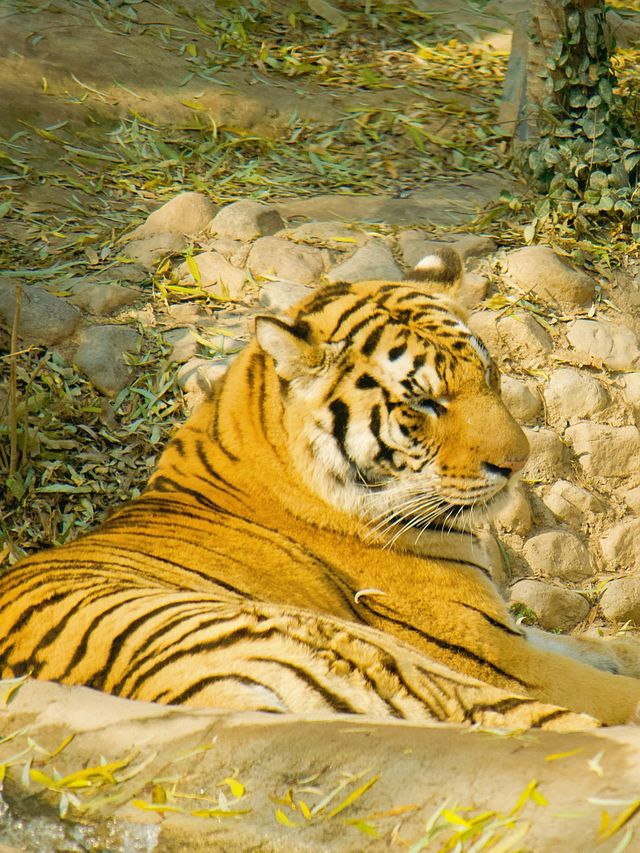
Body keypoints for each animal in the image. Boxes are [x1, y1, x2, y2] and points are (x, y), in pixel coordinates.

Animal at [1, 241, 640, 732]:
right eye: (424, 403)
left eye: (489, 374)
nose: (517, 462)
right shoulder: (485, 648)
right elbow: (595, 683)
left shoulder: (507, 630)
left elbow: (591, 647)